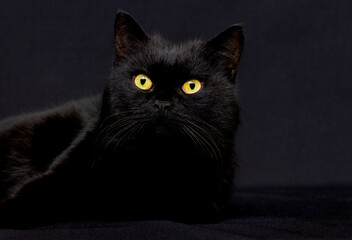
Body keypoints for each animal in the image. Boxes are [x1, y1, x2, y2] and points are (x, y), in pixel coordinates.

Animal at [0, 10, 243, 225]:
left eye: (192, 86)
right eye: (142, 81)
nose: (162, 103)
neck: (156, 159)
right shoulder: (65, 170)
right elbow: (35, 190)